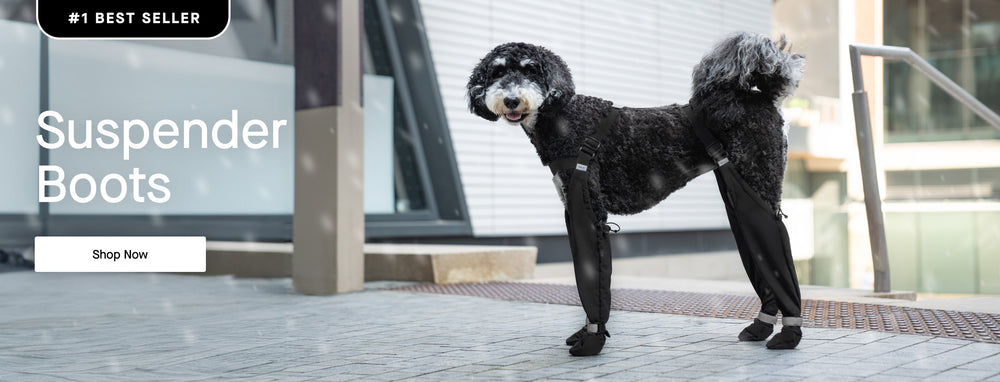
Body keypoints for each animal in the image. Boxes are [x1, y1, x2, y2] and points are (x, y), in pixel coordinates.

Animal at [468, 32, 804, 356]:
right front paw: (584, 333)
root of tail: (762, 95)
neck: (563, 116)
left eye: (531, 70)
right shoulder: (572, 209)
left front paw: (592, 341)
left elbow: (593, 276)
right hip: (739, 191)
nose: (511, 100)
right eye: (498, 72)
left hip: (758, 184)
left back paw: (789, 334)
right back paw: (760, 327)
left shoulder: (588, 209)